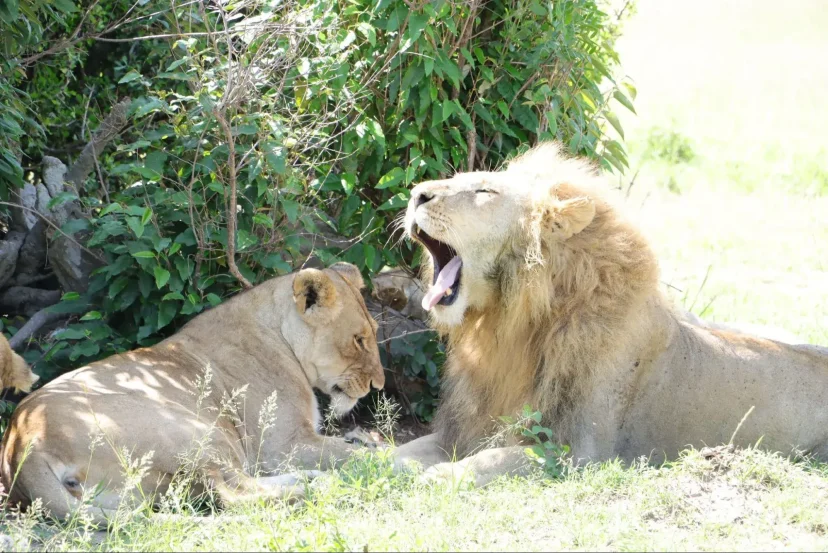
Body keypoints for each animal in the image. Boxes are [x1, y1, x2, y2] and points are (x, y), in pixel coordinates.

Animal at [0, 260, 384, 520]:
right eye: (358, 339)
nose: (377, 385)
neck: (280, 333)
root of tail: (22, 445)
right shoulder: (283, 445)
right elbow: (354, 456)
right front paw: (386, 459)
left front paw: (367, 440)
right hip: (195, 431)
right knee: (232, 494)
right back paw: (316, 486)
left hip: (139, 490)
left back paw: (313, 478)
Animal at [392, 141, 828, 484]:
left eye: (484, 190)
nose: (415, 194)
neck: (509, 321)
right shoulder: (464, 428)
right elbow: (402, 451)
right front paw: (383, 464)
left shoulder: (582, 450)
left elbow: (495, 458)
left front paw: (443, 475)